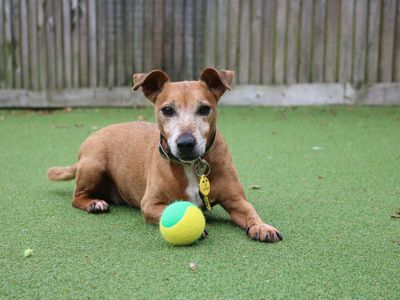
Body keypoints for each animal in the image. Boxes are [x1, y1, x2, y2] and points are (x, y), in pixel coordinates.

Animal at [48, 67, 282, 243]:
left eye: (204, 109)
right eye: (167, 110)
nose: (186, 143)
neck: (191, 166)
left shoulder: (236, 200)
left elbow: (251, 212)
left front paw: (262, 226)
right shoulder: (150, 204)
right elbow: (166, 211)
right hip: (93, 165)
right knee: (76, 197)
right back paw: (93, 203)